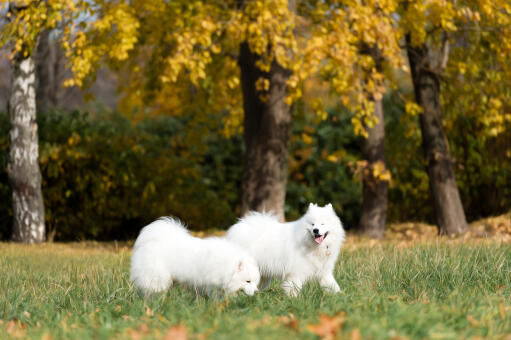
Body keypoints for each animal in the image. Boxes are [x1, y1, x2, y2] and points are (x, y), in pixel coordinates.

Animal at [131, 219, 260, 296]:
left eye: (255, 282)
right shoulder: (211, 282)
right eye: (248, 281)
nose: (257, 292)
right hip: (157, 277)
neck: (225, 264)